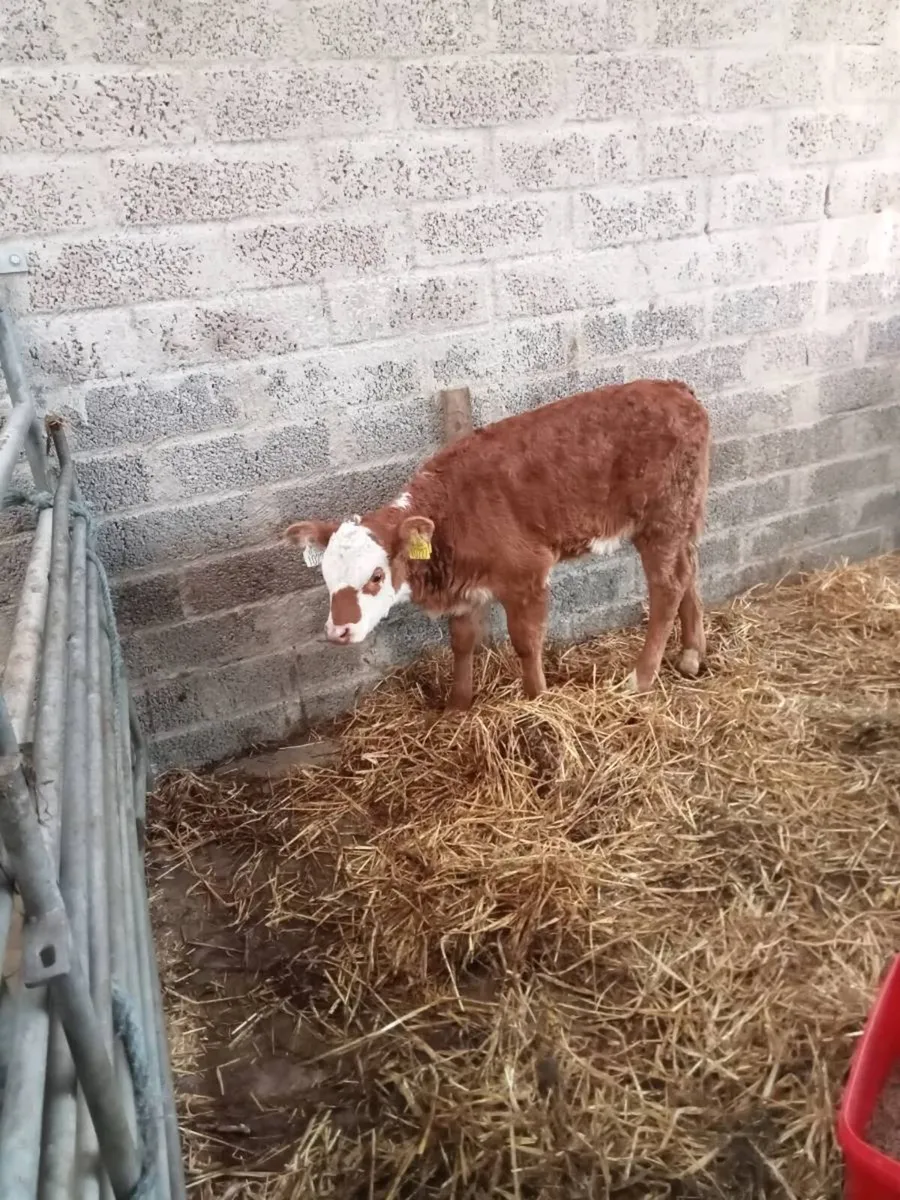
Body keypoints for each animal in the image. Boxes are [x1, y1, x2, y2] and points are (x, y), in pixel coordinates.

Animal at [284, 380, 710, 711]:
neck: (450, 512)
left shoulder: (526, 575)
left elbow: (526, 643)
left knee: (667, 587)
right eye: (326, 577)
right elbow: (461, 642)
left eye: (375, 575)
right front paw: (457, 706)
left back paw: (640, 678)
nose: (338, 632)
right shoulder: (463, 587)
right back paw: (691, 654)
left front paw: (537, 701)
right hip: (685, 513)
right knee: (689, 569)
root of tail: (675, 389)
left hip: (660, 520)